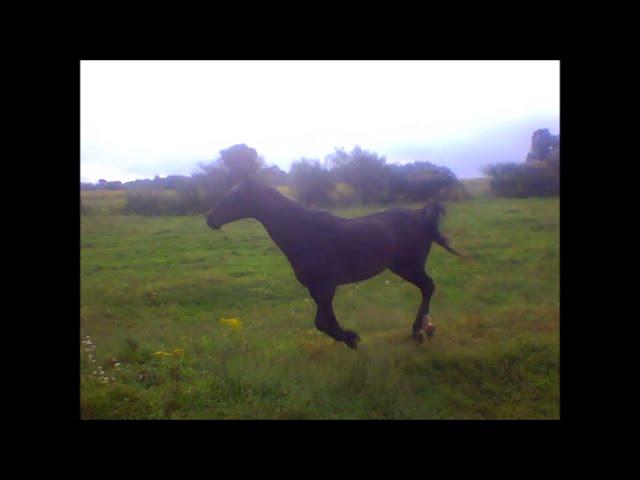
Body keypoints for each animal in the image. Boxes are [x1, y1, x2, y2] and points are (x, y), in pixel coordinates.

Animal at [205, 175, 460, 348]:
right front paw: (350, 338)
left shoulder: (325, 286)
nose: (210, 219)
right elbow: (324, 321)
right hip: (403, 267)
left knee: (428, 286)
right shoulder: (316, 289)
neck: (303, 232)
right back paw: (424, 328)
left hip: (409, 266)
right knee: (427, 287)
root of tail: (421, 214)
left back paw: (420, 329)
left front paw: (351, 338)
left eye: (234, 196)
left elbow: (322, 322)